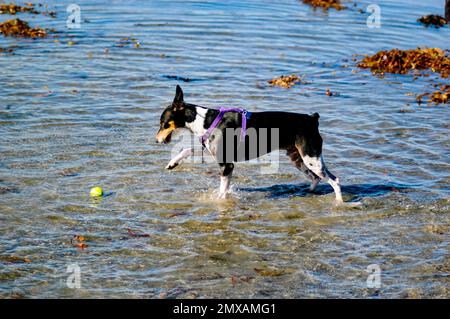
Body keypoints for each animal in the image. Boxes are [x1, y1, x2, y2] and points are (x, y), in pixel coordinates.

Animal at [156, 85, 342, 202]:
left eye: (163, 123)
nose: (156, 140)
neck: (206, 121)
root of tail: (312, 119)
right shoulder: (212, 154)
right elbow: (187, 149)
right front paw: (172, 163)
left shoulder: (226, 165)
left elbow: (222, 192)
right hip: (299, 159)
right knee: (315, 178)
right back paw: (309, 192)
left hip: (311, 158)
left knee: (335, 180)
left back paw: (339, 203)